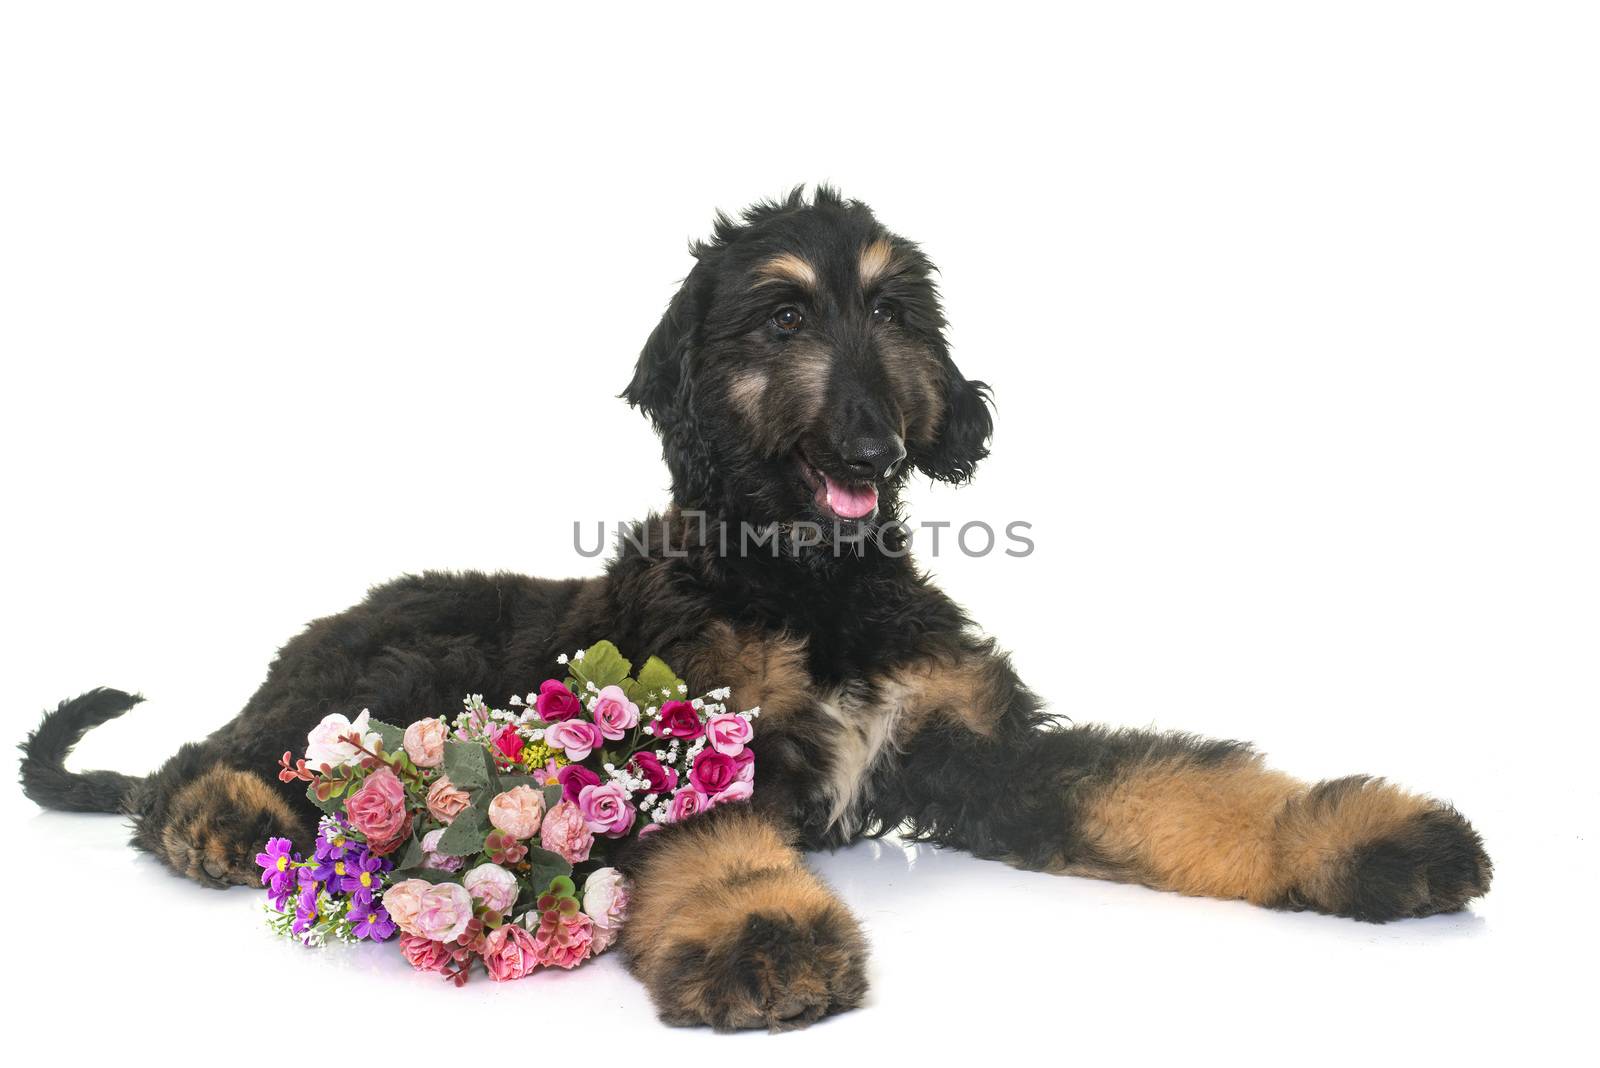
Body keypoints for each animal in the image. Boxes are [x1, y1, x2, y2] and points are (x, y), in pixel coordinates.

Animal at [18, 187, 1484, 1029]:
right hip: (391, 663)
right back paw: (216, 818)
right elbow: (709, 845)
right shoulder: (670, 748)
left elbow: (1172, 782)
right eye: (780, 320)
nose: (877, 441)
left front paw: (1366, 837)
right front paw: (758, 929)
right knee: (203, 759)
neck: (813, 578)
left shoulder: (982, 749)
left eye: (895, 311)